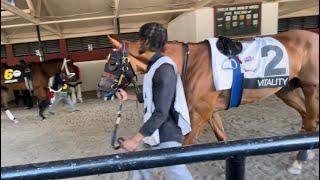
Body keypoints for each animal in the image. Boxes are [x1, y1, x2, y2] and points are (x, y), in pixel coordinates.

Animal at [99, 29, 318, 169]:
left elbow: (185, 147)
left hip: (311, 89)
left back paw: (300, 159)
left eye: (112, 62)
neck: (189, 63)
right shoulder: (209, 112)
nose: (102, 88)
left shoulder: (200, 113)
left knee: (311, 121)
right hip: (286, 89)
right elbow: (222, 138)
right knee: (307, 117)